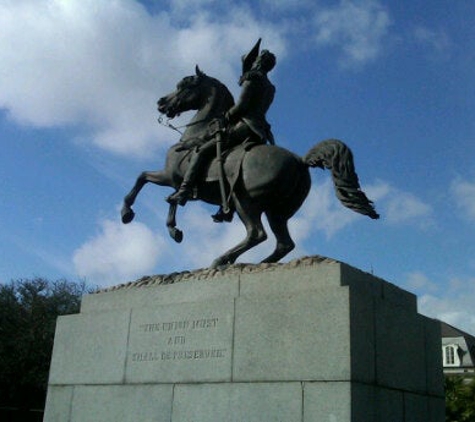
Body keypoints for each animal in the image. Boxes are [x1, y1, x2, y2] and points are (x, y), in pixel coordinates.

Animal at [122, 68, 380, 268]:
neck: (195, 134)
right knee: (283, 243)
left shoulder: (171, 176)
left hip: (244, 200)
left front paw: (128, 213)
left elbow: (144, 179)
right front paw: (174, 231)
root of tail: (300, 161)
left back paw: (222, 260)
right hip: (277, 211)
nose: (161, 103)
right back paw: (261, 264)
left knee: (257, 233)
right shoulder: (176, 181)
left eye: (184, 85)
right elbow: (169, 198)